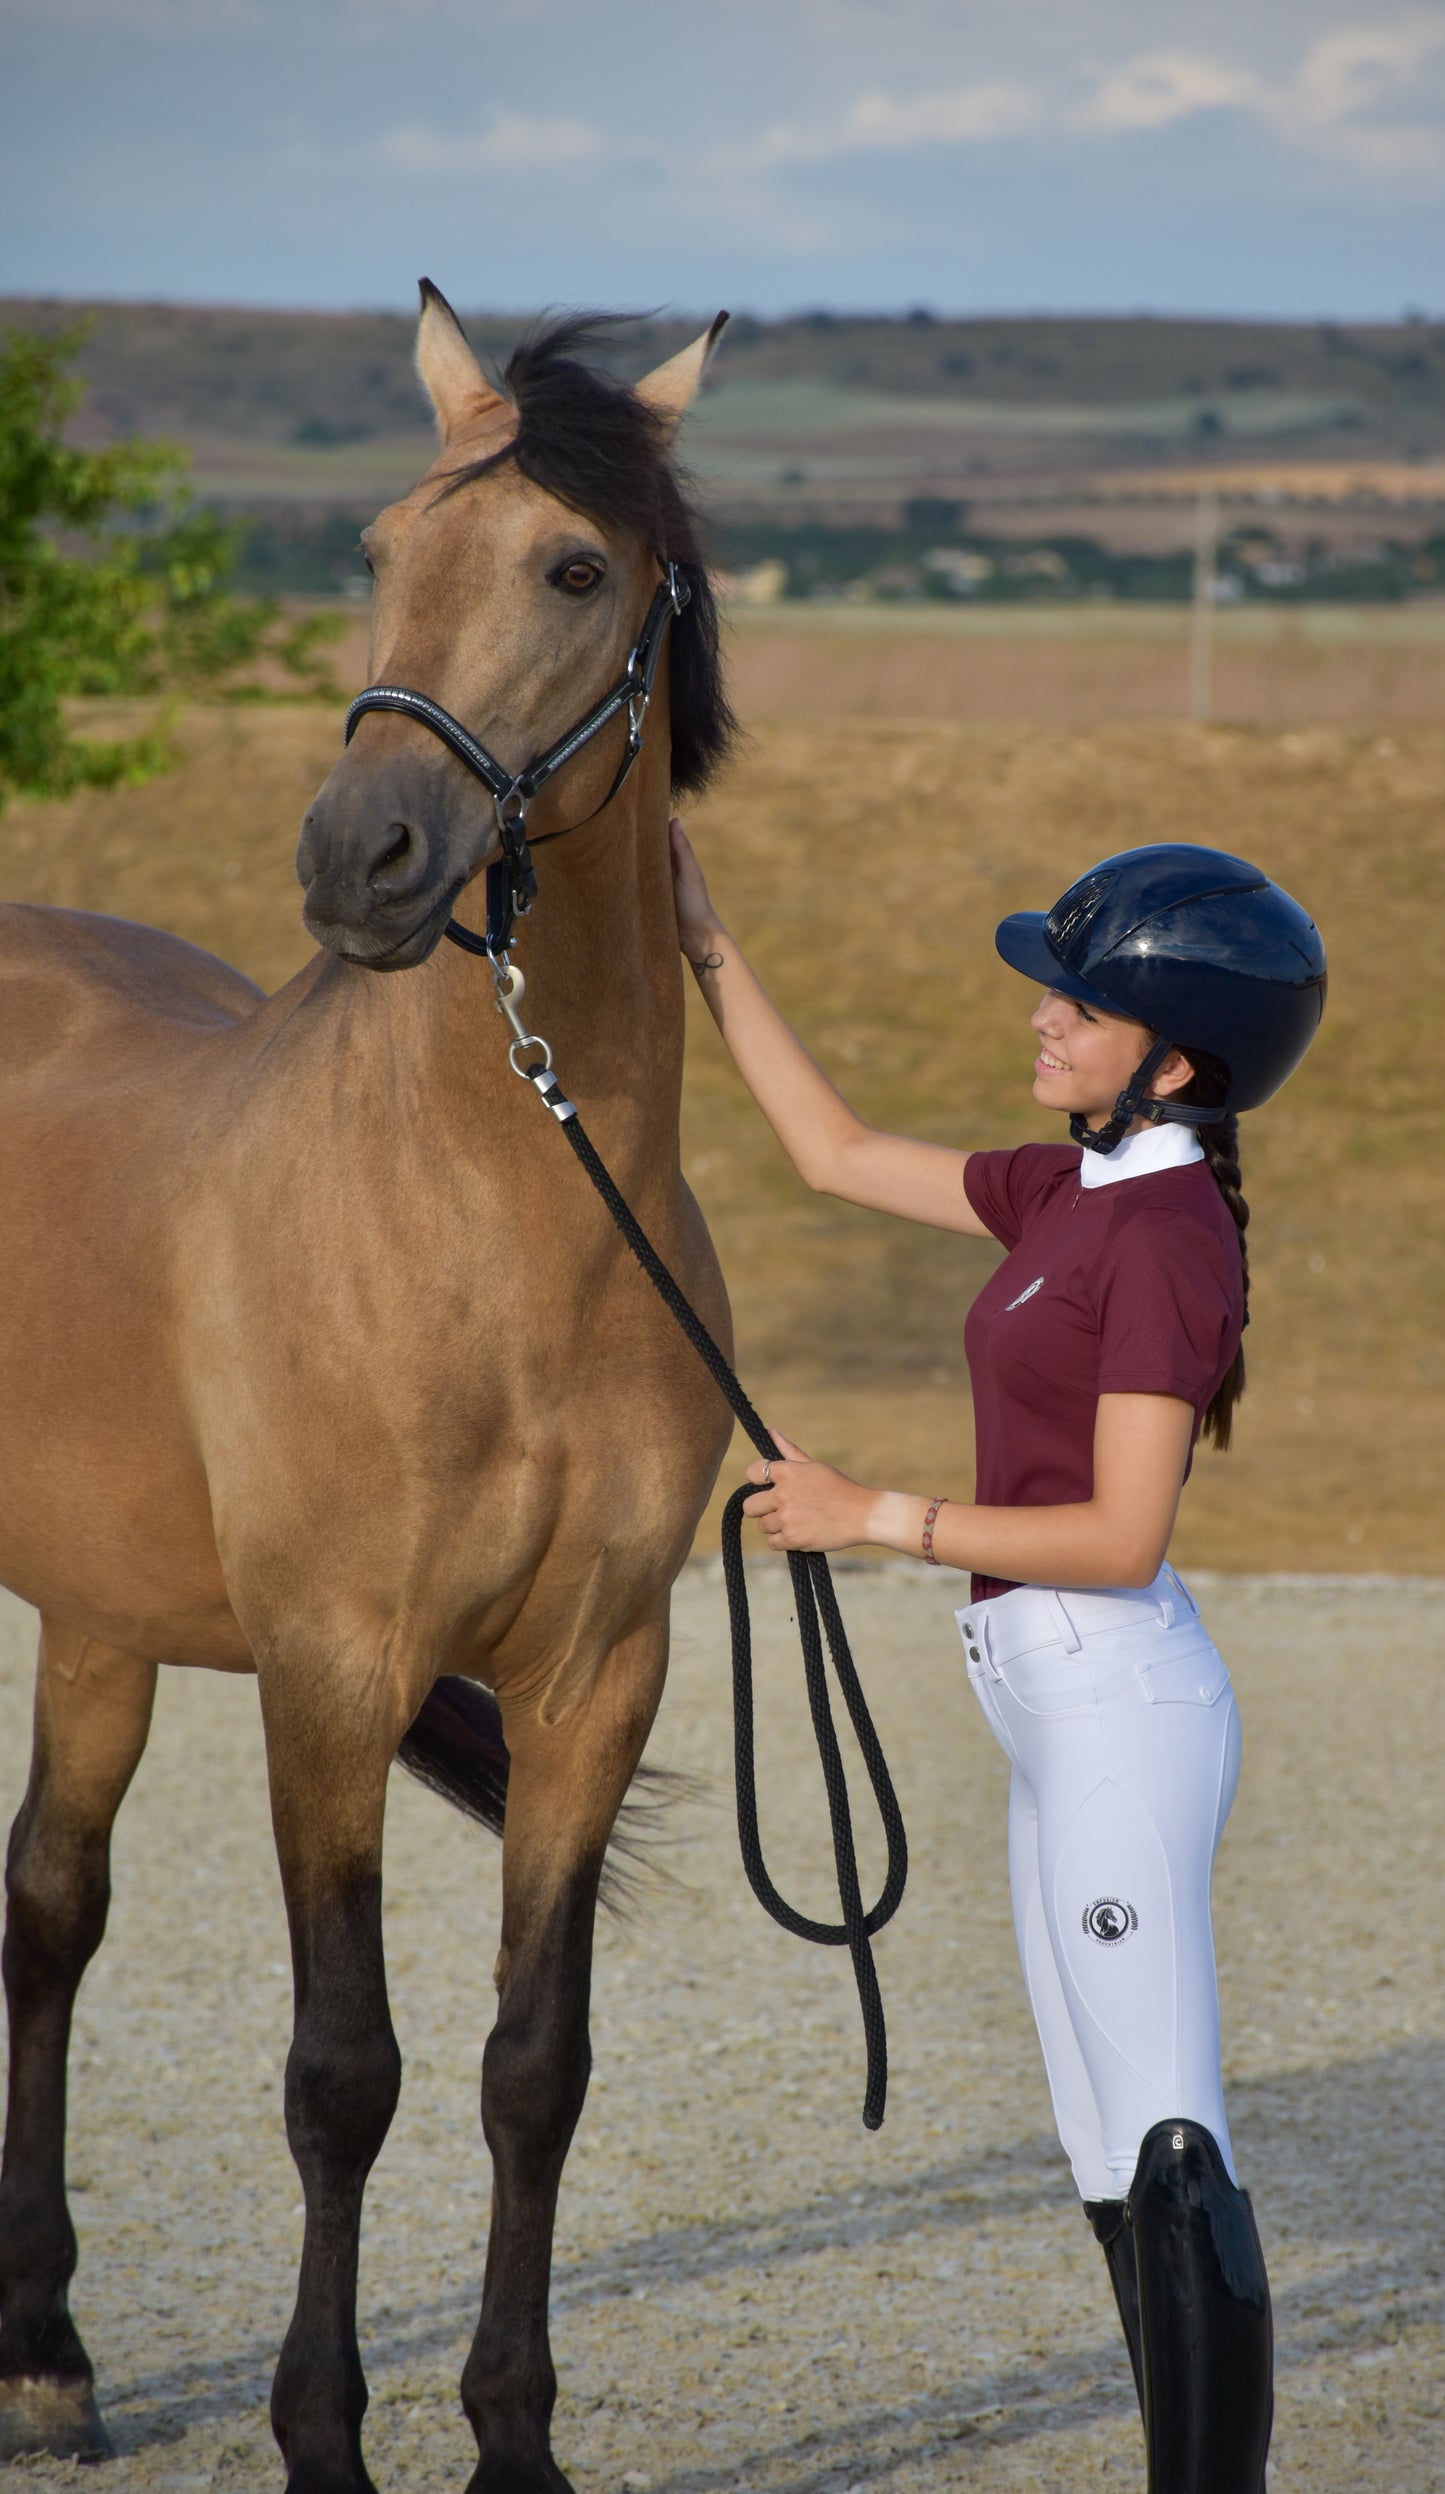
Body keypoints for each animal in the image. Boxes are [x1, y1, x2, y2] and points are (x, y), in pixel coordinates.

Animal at [0, 283, 738, 2484]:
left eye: (574, 566)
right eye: (380, 549)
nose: (363, 854)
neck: (500, 1229)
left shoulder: (596, 1679)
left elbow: (528, 2066)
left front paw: (513, 2435)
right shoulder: (331, 1671)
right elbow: (344, 2068)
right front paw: (322, 2434)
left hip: (100, 1615)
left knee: (49, 1906)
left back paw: (45, 2345)